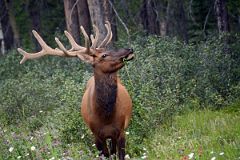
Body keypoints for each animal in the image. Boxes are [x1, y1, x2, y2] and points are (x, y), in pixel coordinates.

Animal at [17, 21, 133, 159]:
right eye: (104, 55)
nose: (129, 49)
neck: (106, 117)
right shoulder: (96, 135)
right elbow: (105, 154)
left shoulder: (121, 130)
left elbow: (120, 155)